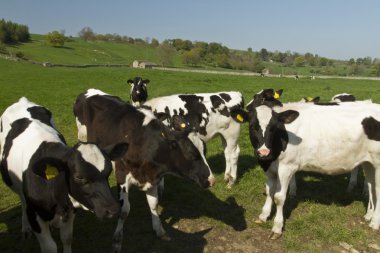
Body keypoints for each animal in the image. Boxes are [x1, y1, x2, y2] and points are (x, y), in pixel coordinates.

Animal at [0, 97, 128, 253]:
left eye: (109, 172)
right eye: (79, 177)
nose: (113, 210)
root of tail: (22, 100)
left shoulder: (70, 209)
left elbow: (66, 238)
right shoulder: (35, 215)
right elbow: (50, 247)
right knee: (23, 201)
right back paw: (26, 228)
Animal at [73, 89, 215, 253]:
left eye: (205, 150)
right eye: (191, 154)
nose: (211, 180)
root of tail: (89, 91)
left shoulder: (152, 177)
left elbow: (153, 204)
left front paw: (159, 230)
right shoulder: (122, 174)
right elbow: (124, 210)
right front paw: (117, 241)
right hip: (83, 137)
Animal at [240, 99, 380, 239]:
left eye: (273, 128)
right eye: (252, 127)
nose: (263, 152)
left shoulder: (287, 167)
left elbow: (279, 198)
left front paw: (277, 227)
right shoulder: (270, 169)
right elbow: (269, 191)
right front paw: (264, 215)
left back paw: (375, 223)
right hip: (368, 163)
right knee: (371, 186)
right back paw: (369, 216)